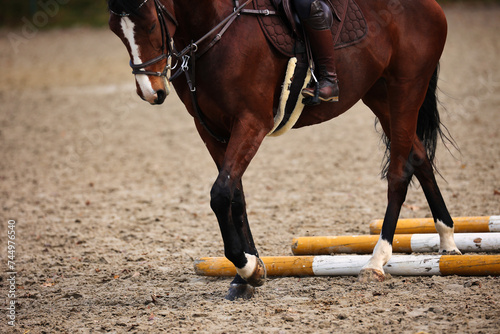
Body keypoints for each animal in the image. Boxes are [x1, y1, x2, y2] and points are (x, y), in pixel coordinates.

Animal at [108, 0, 460, 300]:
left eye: (150, 25)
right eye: (115, 30)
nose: (151, 92)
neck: (216, 32)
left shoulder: (251, 123)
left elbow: (220, 194)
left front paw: (247, 267)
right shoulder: (211, 130)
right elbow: (236, 196)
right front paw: (246, 276)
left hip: (406, 88)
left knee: (400, 171)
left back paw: (376, 262)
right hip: (379, 93)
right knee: (419, 157)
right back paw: (448, 241)